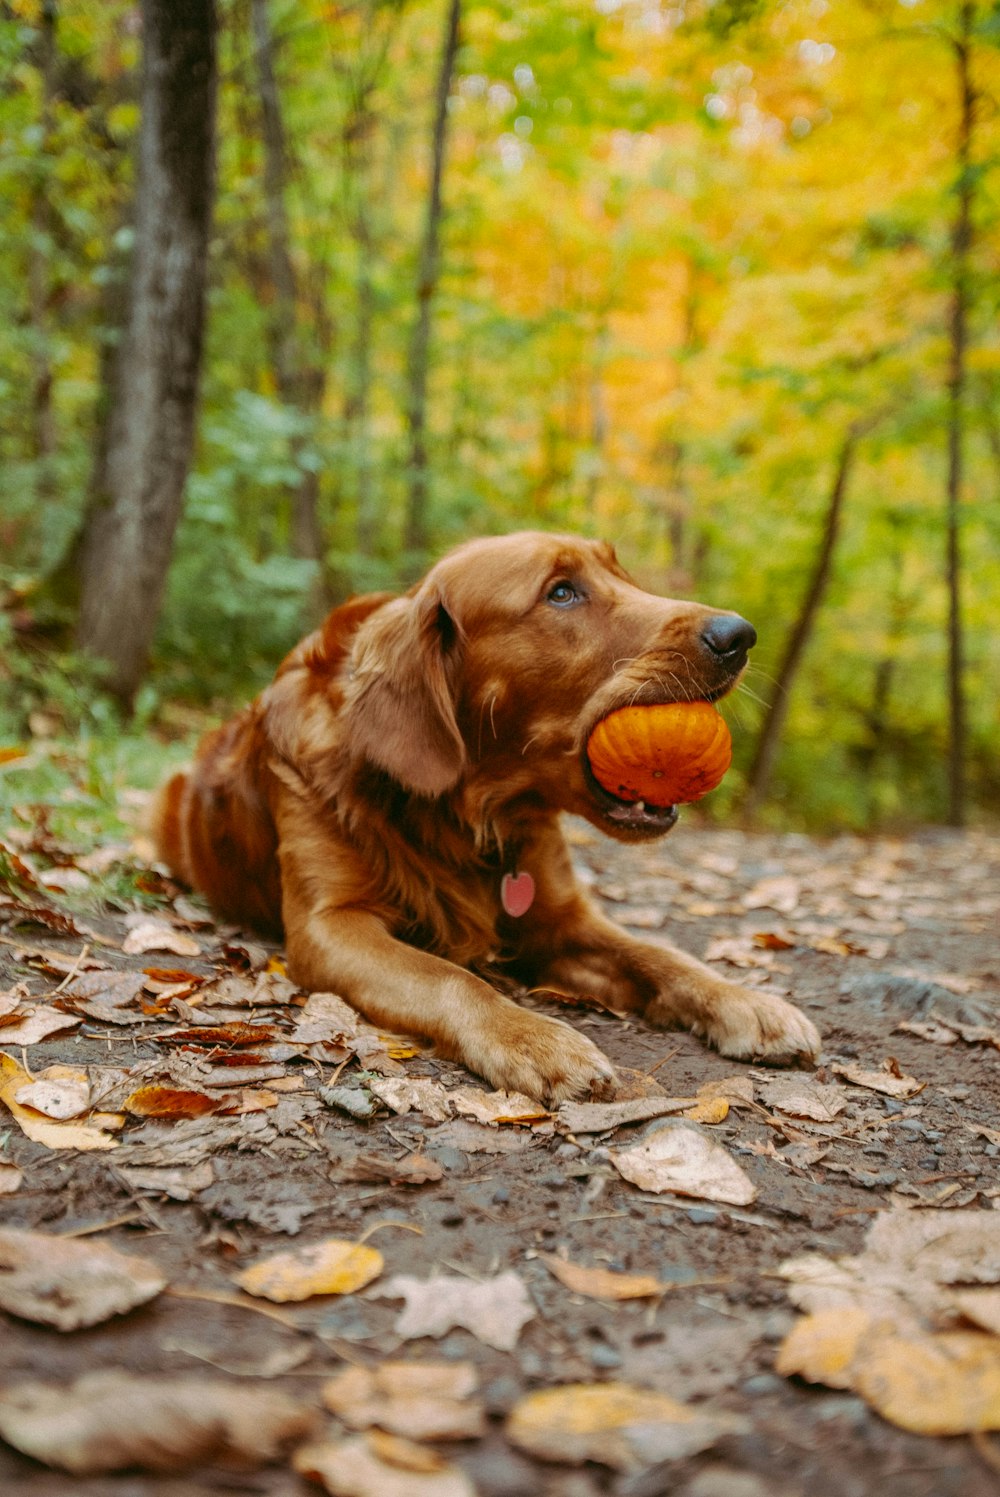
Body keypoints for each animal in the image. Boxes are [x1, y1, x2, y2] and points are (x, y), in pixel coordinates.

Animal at [152, 529, 814, 1101]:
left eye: (621, 574)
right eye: (561, 592)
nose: (739, 635)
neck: (473, 817)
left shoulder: (562, 918)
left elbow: (659, 954)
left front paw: (747, 1001)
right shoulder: (330, 925)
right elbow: (449, 976)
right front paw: (534, 1039)